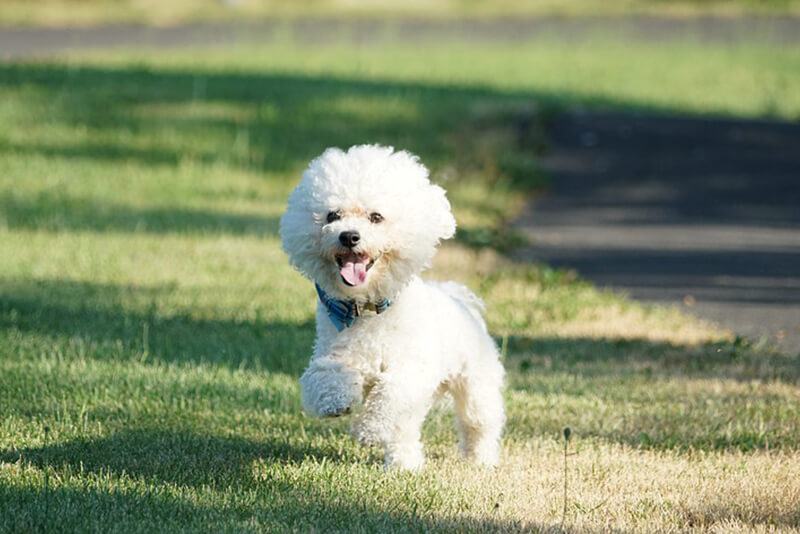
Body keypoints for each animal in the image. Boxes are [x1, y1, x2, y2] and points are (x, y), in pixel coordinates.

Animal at [282, 144, 504, 472]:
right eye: (332, 215)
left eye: (376, 217)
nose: (349, 236)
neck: (367, 310)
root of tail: (457, 297)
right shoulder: (332, 353)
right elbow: (325, 375)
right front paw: (337, 402)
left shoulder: (412, 370)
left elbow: (390, 396)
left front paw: (369, 430)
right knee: (407, 431)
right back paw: (404, 465)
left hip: (476, 382)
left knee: (478, 423)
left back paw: (481, 460)